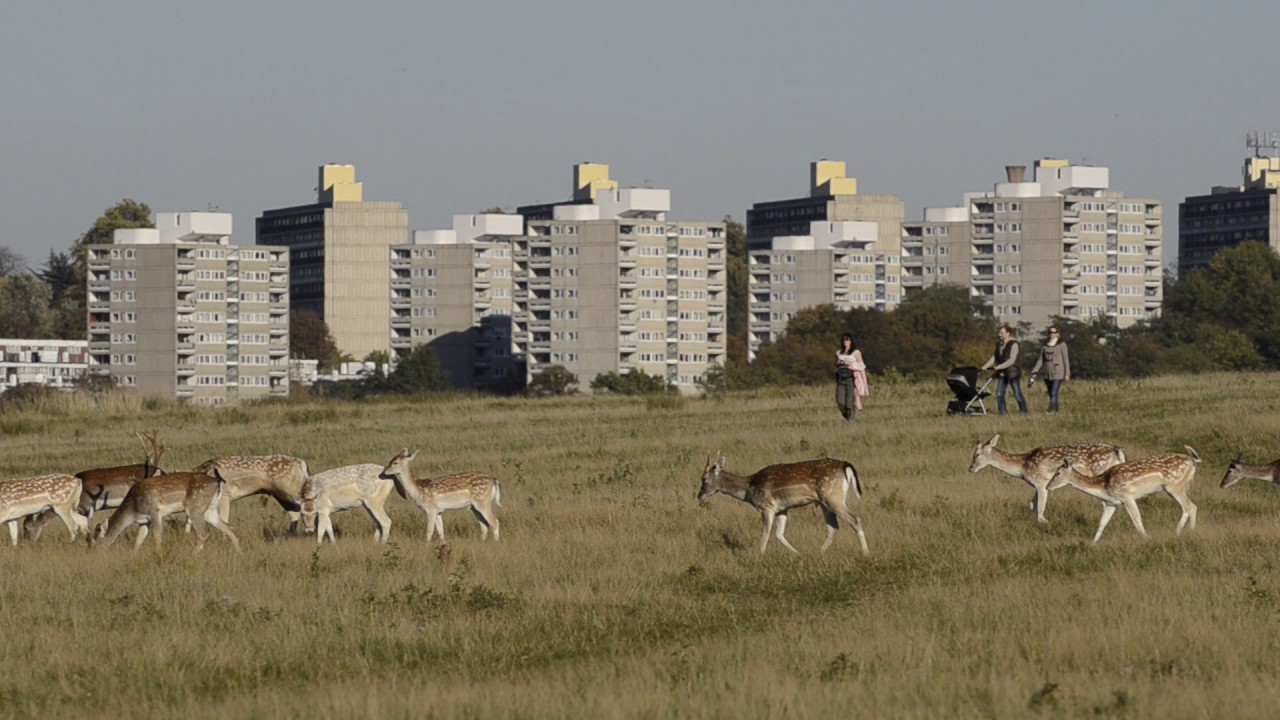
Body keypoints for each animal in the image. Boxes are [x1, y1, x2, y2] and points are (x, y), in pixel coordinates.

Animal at [94, 470, 241, 552]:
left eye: (96, 540)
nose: (94, 554)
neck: (133, 509)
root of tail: (218, 482)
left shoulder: (154, 511)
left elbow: (157, 536)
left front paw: (159, 555)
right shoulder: (143, 520)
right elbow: (139, 540)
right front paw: (134, 556)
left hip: (194, 507)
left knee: (204, 534)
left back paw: (192, 555)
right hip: (210, 510)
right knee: (229, 527)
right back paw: (240, 553)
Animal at [697, 455, 869, 556]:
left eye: (704, 479)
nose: (699, 495)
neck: (748, 490)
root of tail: (846, 466)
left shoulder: (766, 506)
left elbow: (765, 533)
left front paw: (759, 556)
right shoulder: (782, 509)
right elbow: (779, 534)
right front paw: (797, 554)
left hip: (833, 498)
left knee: (856, 519)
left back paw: (865, 553)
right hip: (825, 502)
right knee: (832, 528)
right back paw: (818, 553)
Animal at [968, 434, 1127, 523]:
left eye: (977, 455)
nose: (970, 468)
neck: (1023, 467)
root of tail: (1117, 451)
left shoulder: (1041, 482)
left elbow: (1040, 507)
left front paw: (1044, 521)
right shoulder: (1035, 484)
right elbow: (1032, 505)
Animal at [1047, 447, 1200, 544]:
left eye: (1058, 473)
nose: (1048, 486)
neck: (1103, 486)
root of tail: (1193, 461)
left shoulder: (1127, 496)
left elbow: (1137, 519)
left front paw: (1146, 538)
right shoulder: (1111, 503)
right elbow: (1102, 522)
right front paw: (1093, 543)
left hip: (1174, 486)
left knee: (1188, 506)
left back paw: (1180, 531)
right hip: (1176, 487)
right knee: (1192, 506)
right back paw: (1188, 531)